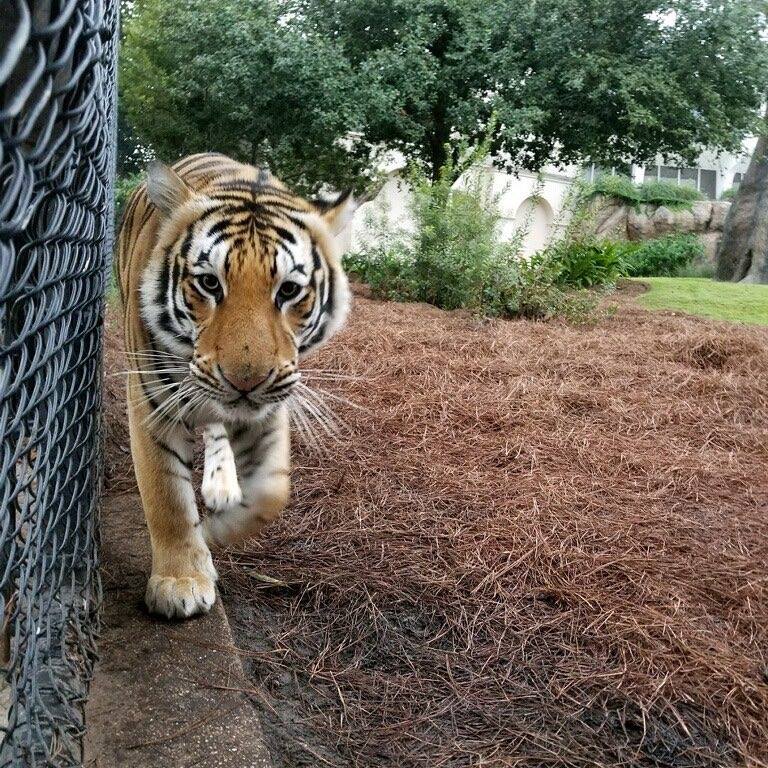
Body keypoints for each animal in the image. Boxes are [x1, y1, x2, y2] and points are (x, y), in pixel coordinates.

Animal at [115, 154, 356, 616]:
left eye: (289, 290)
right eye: (210, 283)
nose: (246, 380)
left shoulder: (273, 403)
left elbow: (271, 494)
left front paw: (213, 534)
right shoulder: (152, 401)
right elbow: (166, 494)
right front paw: (181, 580)